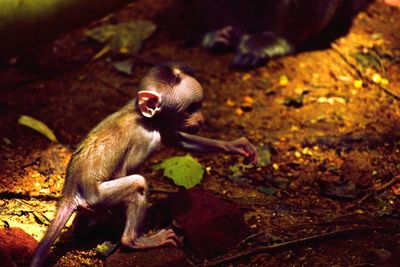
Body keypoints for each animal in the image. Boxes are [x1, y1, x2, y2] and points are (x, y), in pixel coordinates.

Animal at [29, 63, 258, 266]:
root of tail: (69, 191)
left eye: (198, 106)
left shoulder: (162, 124)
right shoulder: (144, 137)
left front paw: (235, 146)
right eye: (191, 109)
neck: (142, 115)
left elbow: (178, 141)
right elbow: (121, 171)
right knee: (137, 183)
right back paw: (133, 240)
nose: (201, 120)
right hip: (96, 196)